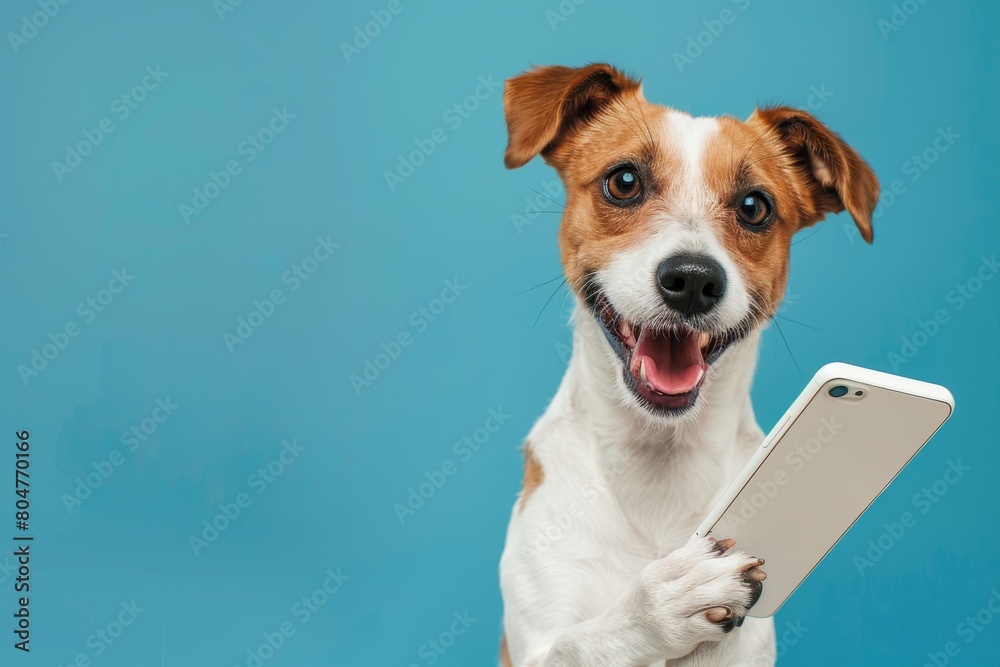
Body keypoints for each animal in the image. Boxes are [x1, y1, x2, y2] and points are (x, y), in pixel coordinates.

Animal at [498, 64, 876, 667]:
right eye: (624, 181)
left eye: (754, 207)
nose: (694, 279)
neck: (659, 461)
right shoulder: (533, 641)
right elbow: (582, 640)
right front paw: (657, 603)